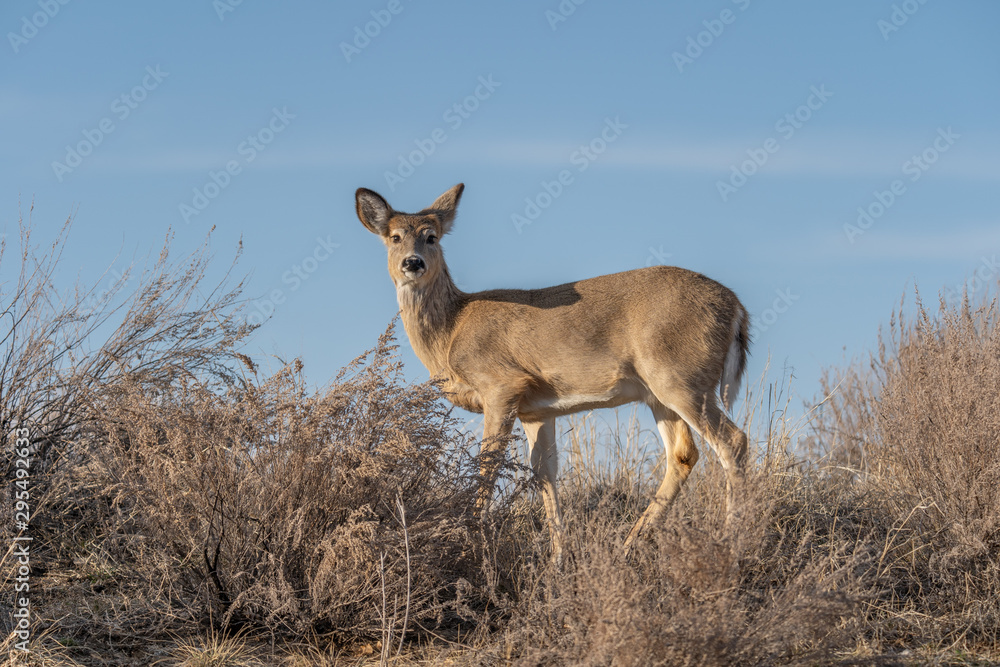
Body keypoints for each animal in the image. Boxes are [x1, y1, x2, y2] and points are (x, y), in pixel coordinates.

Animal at [355, 183, 750, 561]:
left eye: (432, 236)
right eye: (394, 237)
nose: (413, 263)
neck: (451, 330)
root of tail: (737, 307)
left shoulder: (502, 385)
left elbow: (488, 465)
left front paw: (469, 546)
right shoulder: (536, 409)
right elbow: (544, 472)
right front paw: (558, 558)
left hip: (680, 377)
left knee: (732, 441)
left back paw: (732, 544)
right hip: (659, 392)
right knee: (683, 454)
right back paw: (628, 546)